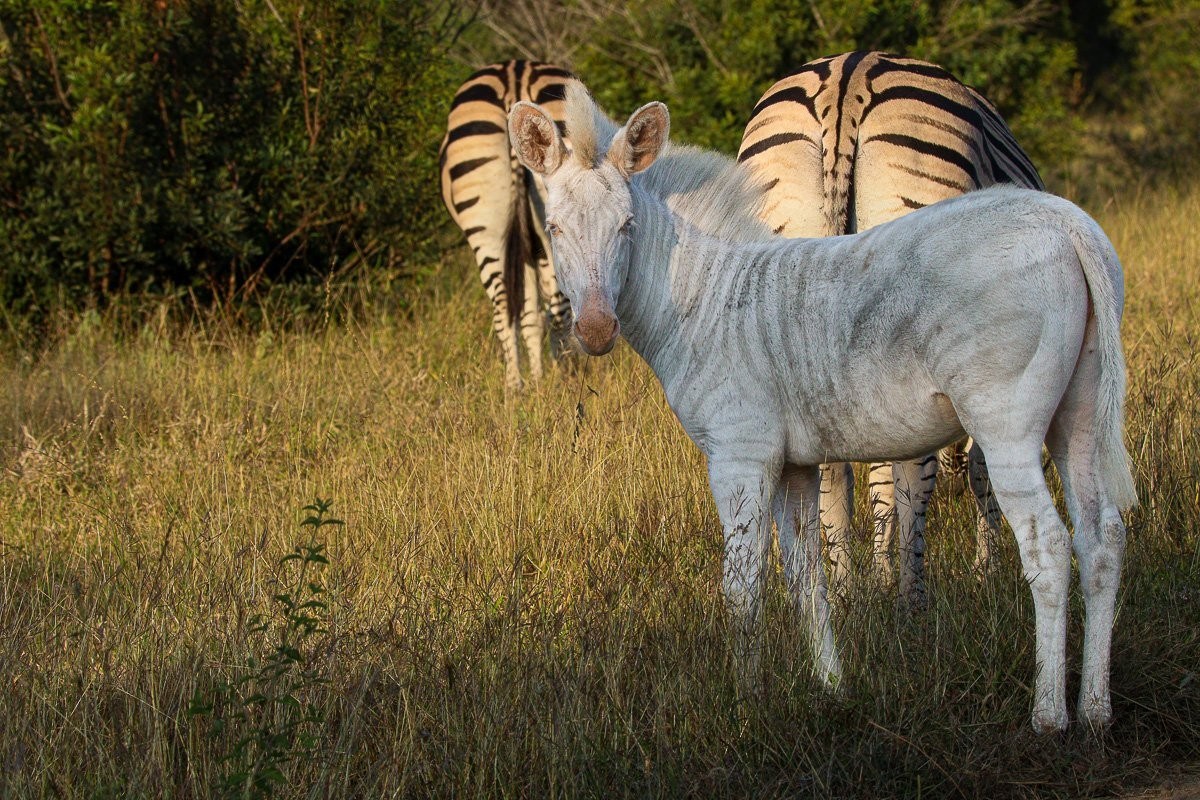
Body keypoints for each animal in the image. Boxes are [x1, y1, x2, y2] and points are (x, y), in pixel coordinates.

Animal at [439, 60, 576, 390]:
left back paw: (527, 384)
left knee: (511, 306)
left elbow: (530, 311)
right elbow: (535, 311)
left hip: (489, 225)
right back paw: (554, 380)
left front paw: (539, 380)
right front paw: (543, 379)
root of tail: (514, 77)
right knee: (546, 305)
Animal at [737, 51, 1046, 602]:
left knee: (830, 463)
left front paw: (877, 573)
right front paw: (988, 570)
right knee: (914, 471)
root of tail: (847, 78)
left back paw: (842, 592)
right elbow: (980, 471)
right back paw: (912, 600)